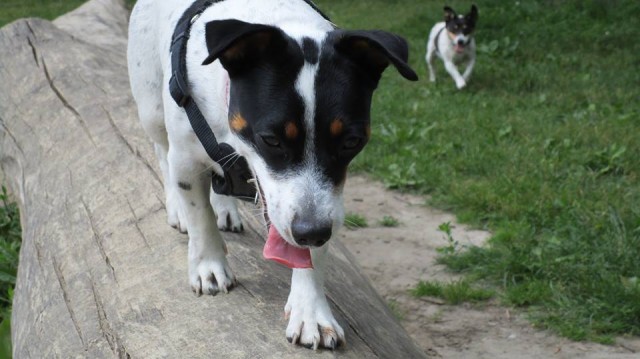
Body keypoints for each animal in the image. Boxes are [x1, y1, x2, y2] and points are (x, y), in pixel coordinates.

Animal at [127, 0, 418, 352]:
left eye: (351, 141)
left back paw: (225, 208)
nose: (311, 231)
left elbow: (310, 253)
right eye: (271, 140)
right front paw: (208, 266)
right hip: (152, 108)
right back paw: (176, 207)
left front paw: (310, 311)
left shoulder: (324, 206)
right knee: (160, 151)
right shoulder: (186, 160)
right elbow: (200, 217)